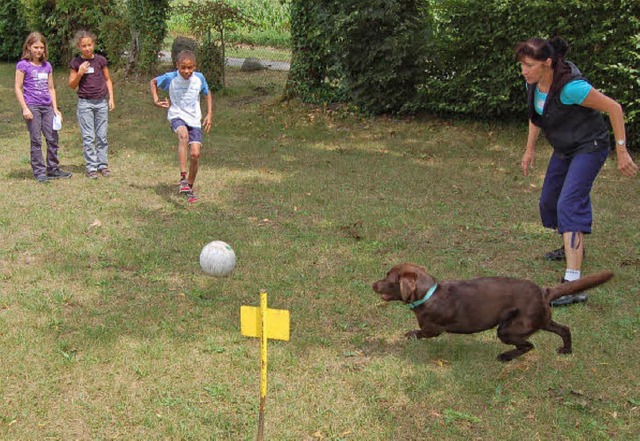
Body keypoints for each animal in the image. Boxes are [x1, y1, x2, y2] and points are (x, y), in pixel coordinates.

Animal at [372, 262, 612, 360]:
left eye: (388, 278)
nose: (372, 284)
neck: (430, 293)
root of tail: (544, 291)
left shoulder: (433, 329)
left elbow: (420, 332)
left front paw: (409, 335)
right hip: (541, 320)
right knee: (564, 329)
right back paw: (566, 350)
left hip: (508, 329)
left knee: (529, 345)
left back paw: (506, 357)